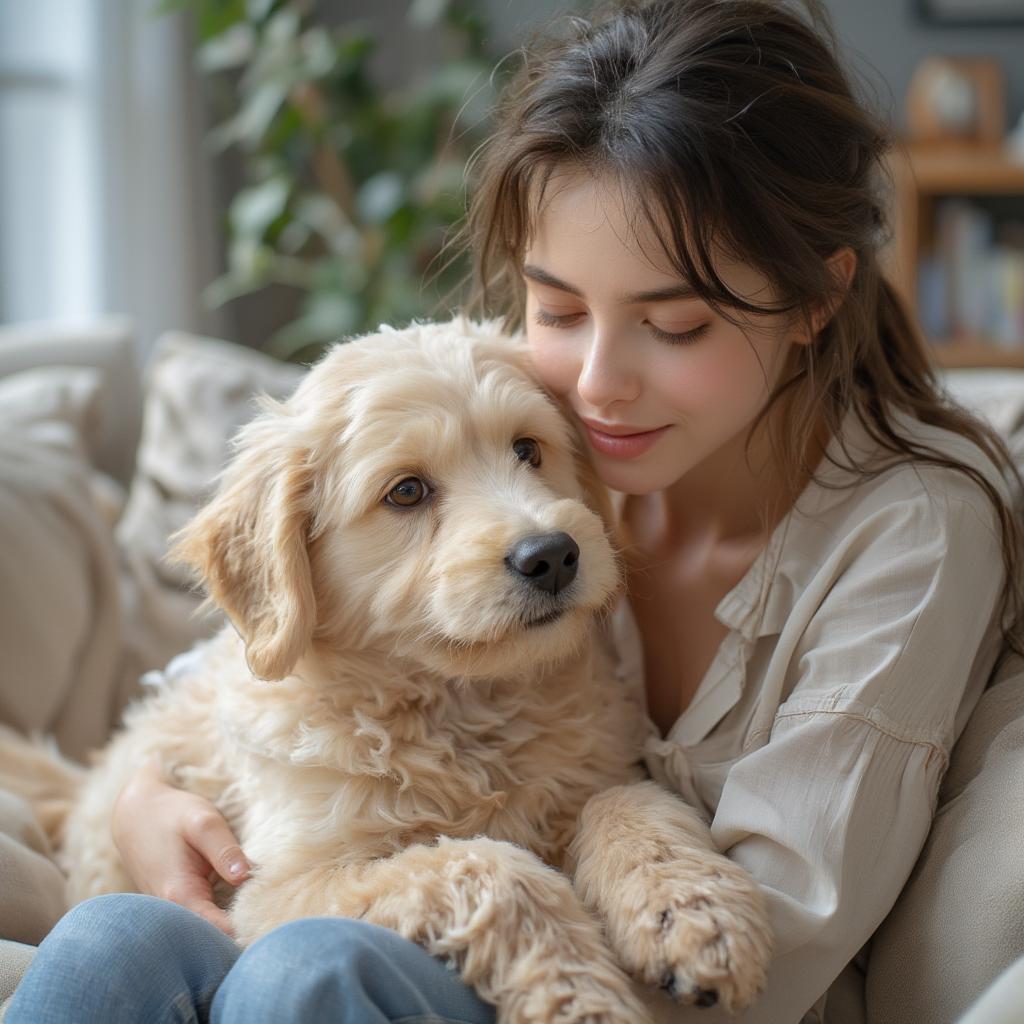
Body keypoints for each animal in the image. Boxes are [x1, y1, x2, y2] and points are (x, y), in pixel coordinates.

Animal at [0, 317, 770, 1015]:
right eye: (406, 492)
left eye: (528, 449)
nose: (552, 554)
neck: (459, 708)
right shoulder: (280, 887)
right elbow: (489, 867)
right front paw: (579, 998)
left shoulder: (600, 764)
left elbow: (628, 799)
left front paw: (694, 915)